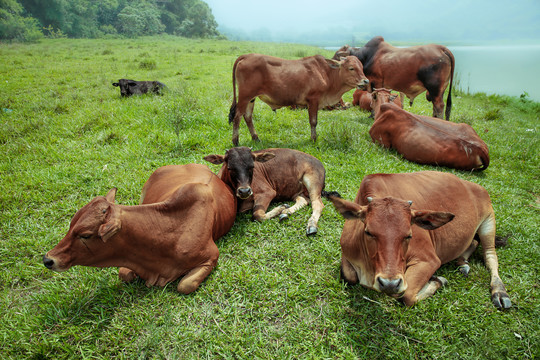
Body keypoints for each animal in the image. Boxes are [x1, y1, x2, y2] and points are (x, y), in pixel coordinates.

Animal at [42, 165, 236, 294]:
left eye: (86, 235)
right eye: (71, 224)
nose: (48, 259)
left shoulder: (211, 257)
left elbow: (184, 285)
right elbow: (124, 274)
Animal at [228, 52, 372, 145]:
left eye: (361, 67)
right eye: (351, 68)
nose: (366, 81)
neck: (326, 73)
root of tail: (247, 55)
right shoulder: (313, 100)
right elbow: (313, 121)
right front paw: (313, 139)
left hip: (251, 99)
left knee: (248, 117)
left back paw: (256, 138)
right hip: (245, 96)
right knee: (237, 117)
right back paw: (235, 141)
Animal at [324, 172, 510, 310]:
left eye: (409, 235)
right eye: (368, 232)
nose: (389, 284)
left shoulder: (428, 260)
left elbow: (406, 296)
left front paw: (438, 280)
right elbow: (348, 276)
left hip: (489, 221)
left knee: (490, 257)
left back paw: (500, 293)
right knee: (473, 243)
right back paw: (463, 263)